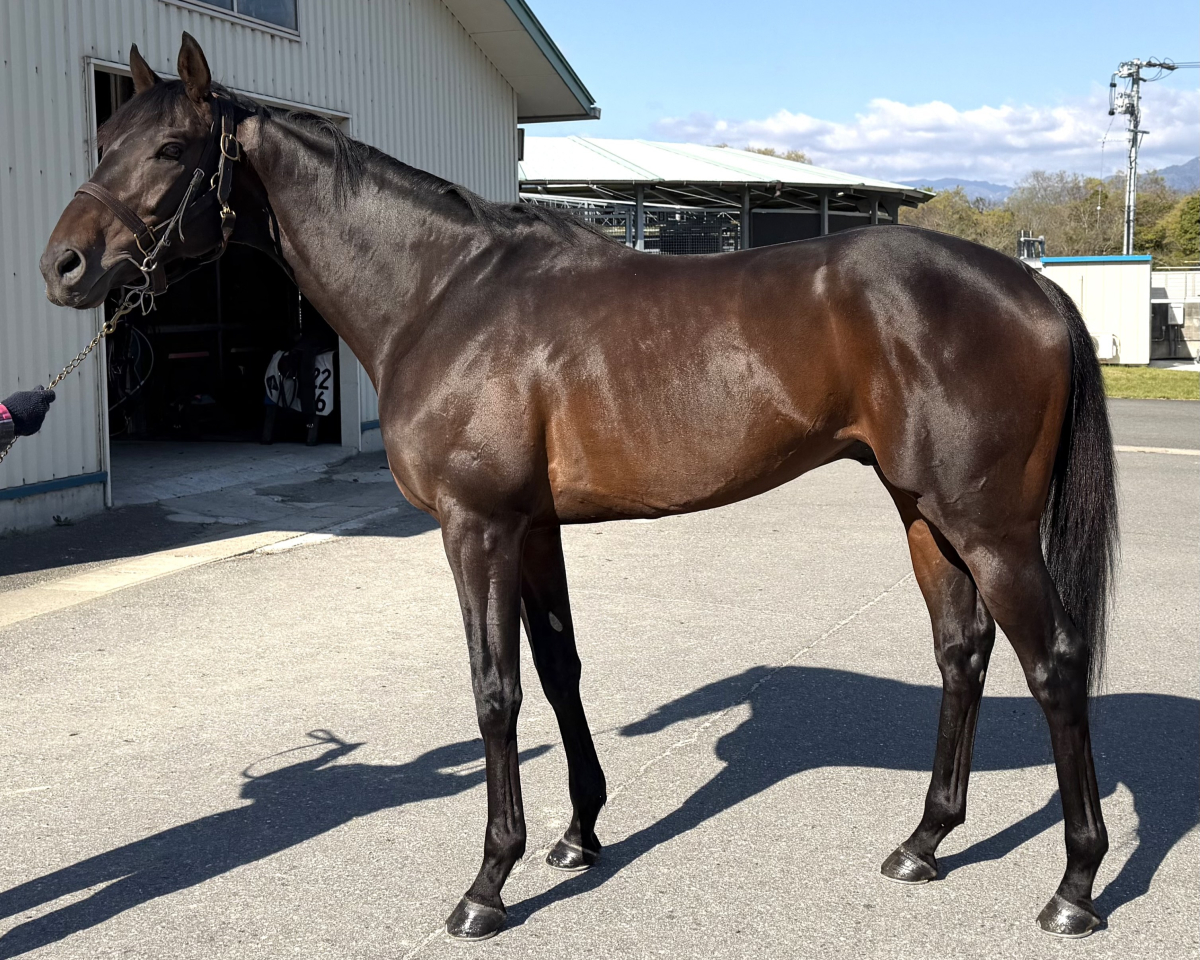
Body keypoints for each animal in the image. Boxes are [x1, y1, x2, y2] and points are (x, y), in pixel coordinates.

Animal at [40, 34, 1118, 942]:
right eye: (103, 138)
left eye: (172, 148)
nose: (63, 266)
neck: (444, 295)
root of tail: (1036, 286)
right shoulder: (533, 528)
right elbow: (559, 671)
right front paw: (579, 835)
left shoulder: (476, 527)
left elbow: (495, 692)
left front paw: (488, 884)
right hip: (924, 512)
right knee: (962, 654)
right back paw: (924, 843)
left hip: (990, 527)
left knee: (1055, 663)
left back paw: (1074, 887)